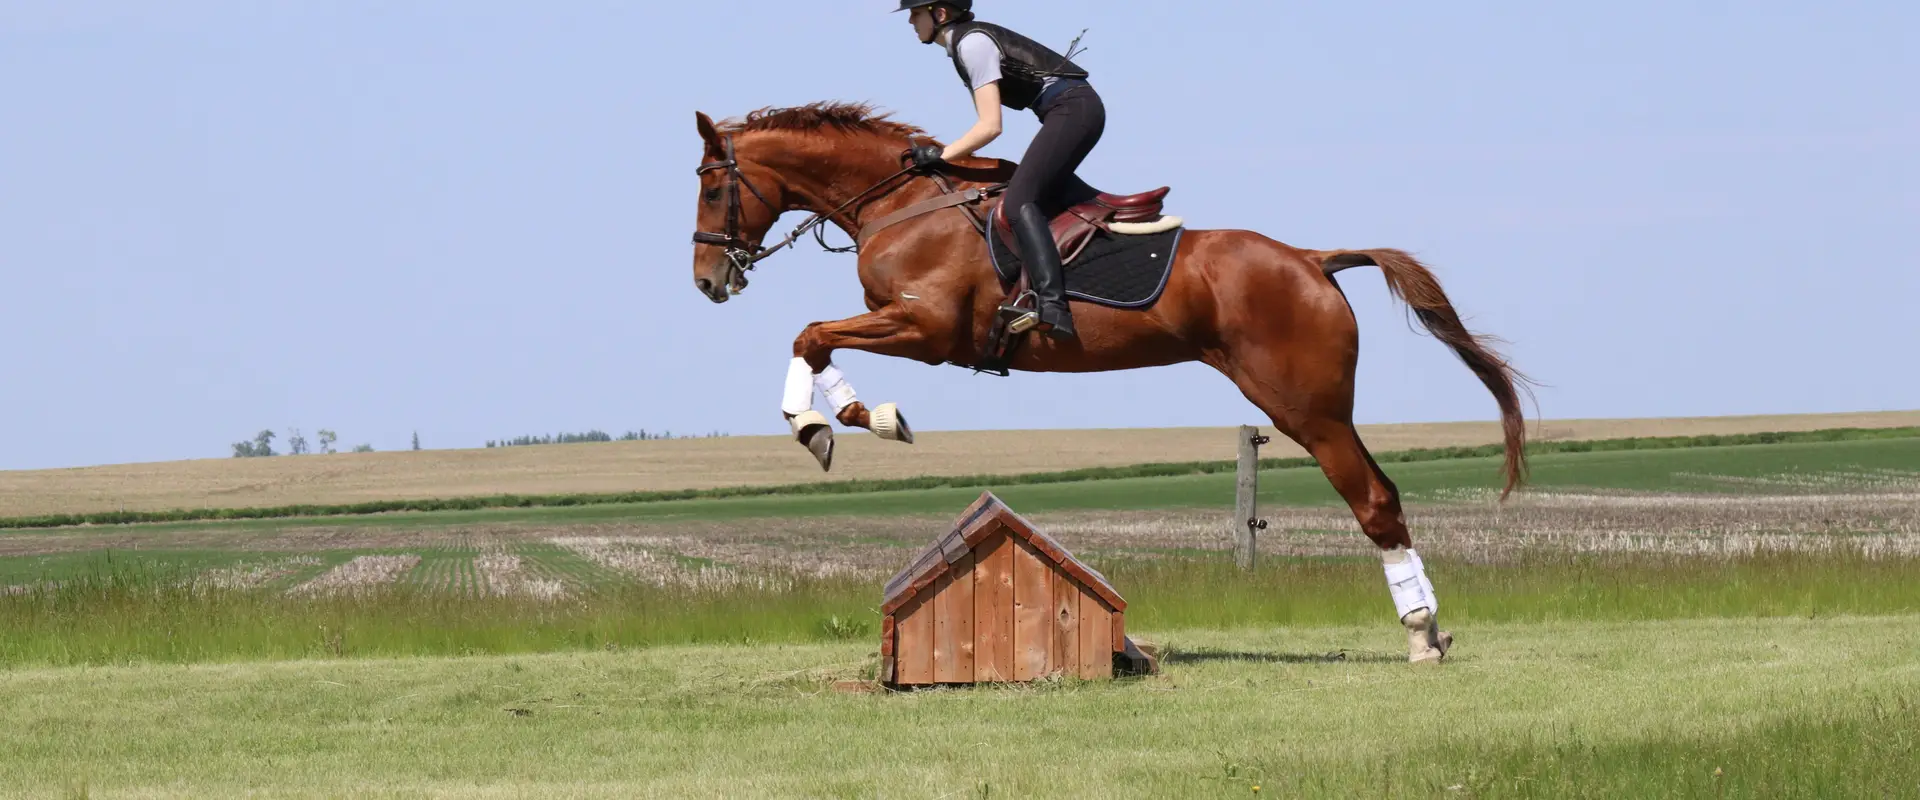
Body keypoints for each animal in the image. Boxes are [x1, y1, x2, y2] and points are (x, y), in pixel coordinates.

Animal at [688, 102, 1531, 664]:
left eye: (709, 187)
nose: (707, 280)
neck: (905, 203)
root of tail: (1311, 259)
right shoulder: (909, 328)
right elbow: (812, 339)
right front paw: (850, 417)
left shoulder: (927, 331)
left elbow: (811, 335)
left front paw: (833, 423)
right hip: (1318, 406)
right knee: (1383, 493)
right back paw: (1429, 627)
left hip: (1305, 408)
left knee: (1374, 502)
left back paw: (1421, 636)